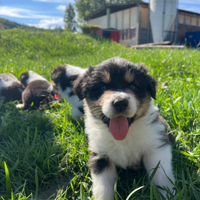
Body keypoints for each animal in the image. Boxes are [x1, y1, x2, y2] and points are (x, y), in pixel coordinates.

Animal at [73, 57, 175, 199]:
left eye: (133, 86)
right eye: (102, 87)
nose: (120, 103)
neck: (124, 137)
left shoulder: (157, 146)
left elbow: (161, 176)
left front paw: (167, 195)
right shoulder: (100, 156)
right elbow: (103, 187)